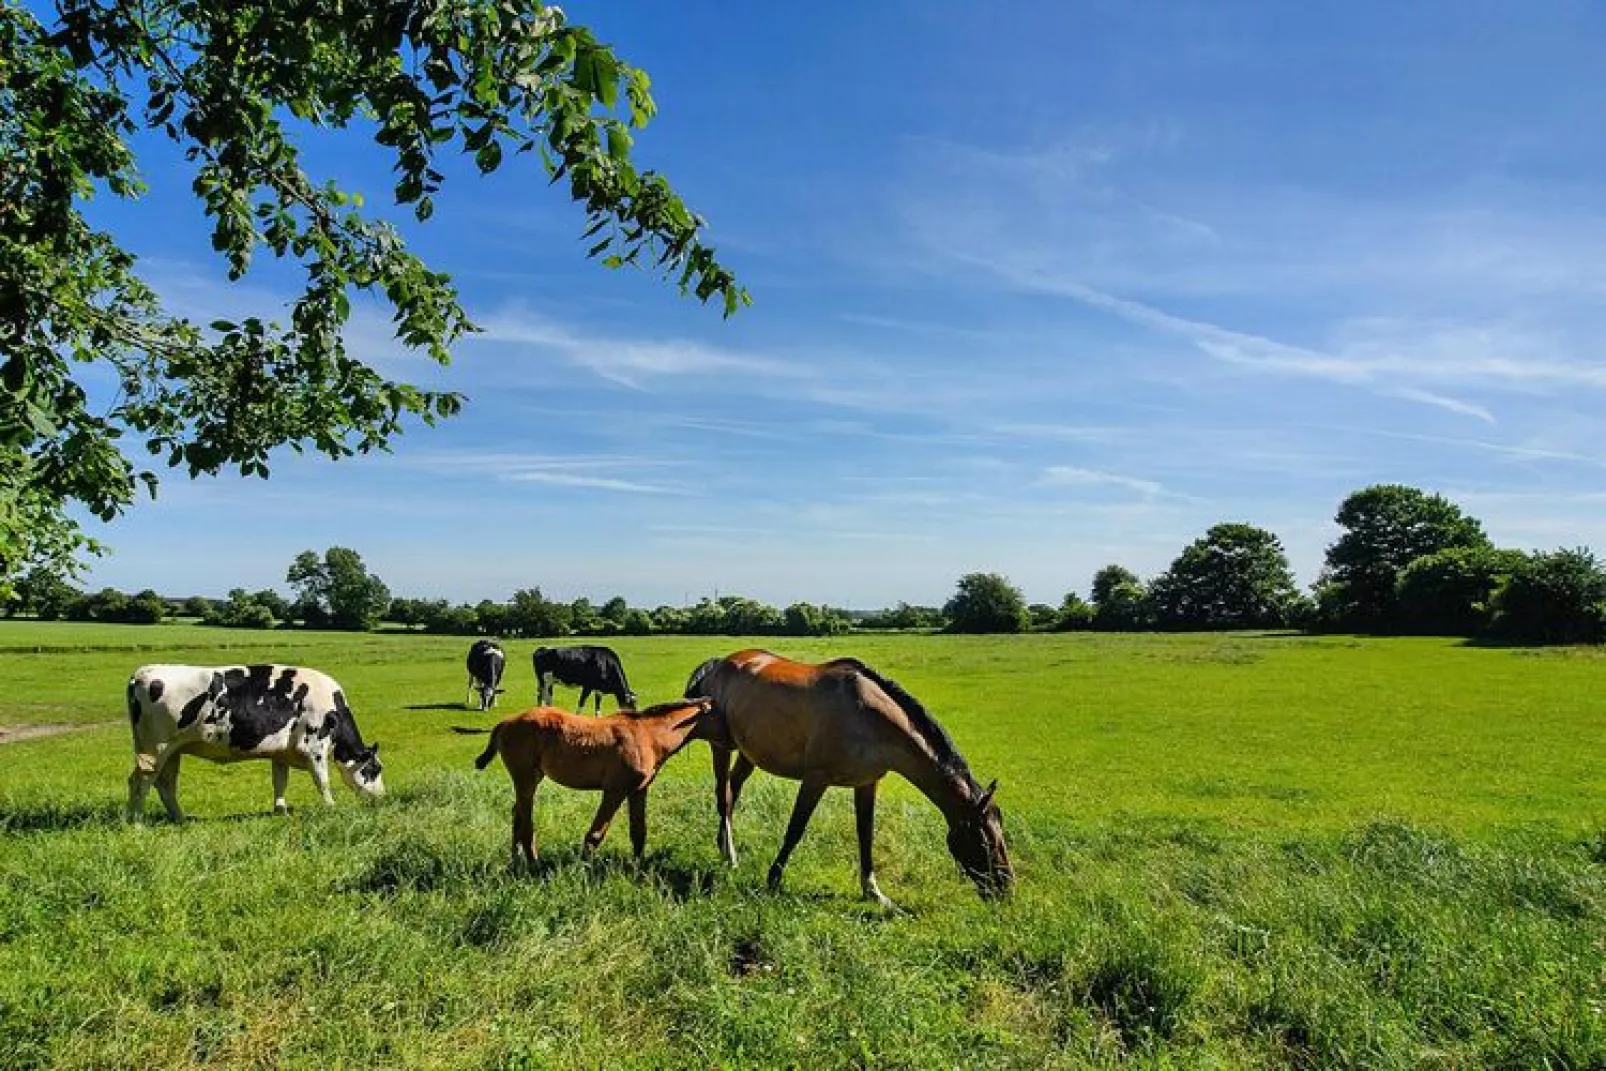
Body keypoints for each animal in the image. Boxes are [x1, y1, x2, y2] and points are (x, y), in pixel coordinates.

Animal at [128, 661, 385, 822]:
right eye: (375, 769)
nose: (382, 797)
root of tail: (143, 673)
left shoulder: (281, 752)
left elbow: (280, 782)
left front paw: (281, 811)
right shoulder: (315, 747)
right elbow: (322, 782)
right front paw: (332, 809)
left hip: (173, 750)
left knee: (165, 785)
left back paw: (180, 819)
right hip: (154, 749)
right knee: (140, 782)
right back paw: (136, 822)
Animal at [462, 696, 719, 873]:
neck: (647, 735)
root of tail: (505, 722)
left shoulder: (638, 790)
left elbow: (639, 832)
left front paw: (638, 869)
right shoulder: (615, 790)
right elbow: (596, 833)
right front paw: (584, 869)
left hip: (531, 778)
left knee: (517, 815)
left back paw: (516, 862)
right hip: (525, 779)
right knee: (526, 822)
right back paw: (534, 864)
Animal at [684, 648, 1008, 912]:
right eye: (984, 840)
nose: (1006, 887)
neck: (866, 717)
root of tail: (719, 663)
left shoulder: (866, 784)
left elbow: (865, 835)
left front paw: (874, 892)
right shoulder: (816, 779)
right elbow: (795, 829)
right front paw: (773, 880)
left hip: (748, 753)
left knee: (733, 789)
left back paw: (724, 847)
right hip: (721, 746)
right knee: (724, 796)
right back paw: (731, 856)